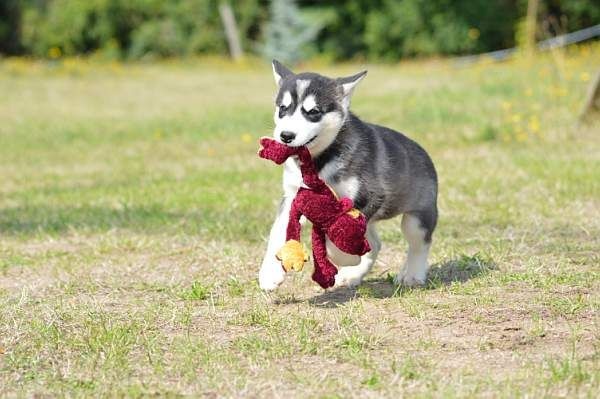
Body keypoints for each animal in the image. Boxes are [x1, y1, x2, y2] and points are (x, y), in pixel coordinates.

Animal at [260, 60, 438, 290]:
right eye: (283, 108)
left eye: (314, 112)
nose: (286, 136)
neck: (319, 160)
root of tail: (424, 152)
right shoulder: (293, 196)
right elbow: (278, 232)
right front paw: (270, 273)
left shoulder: (369, 196)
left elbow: (337, 237)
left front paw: (342, 257)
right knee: (375, 243)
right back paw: (353, 275)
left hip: (417, 216)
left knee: (419, 243)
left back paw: (413, 275)